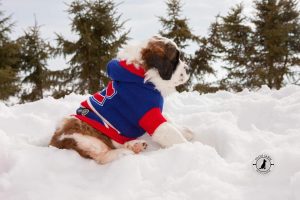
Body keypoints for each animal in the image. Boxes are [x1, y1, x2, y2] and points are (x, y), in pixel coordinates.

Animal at [49, 36, 192, 164]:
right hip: (84, 136)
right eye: (175, 60)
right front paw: (189, 148)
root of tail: (53, 143)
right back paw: (126, 152)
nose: (188, 69)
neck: (143, 76)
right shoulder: (149, 115)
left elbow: (170, 122)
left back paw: (135, 145)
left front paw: (187, 132)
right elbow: (170, 132)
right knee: (101, 156)